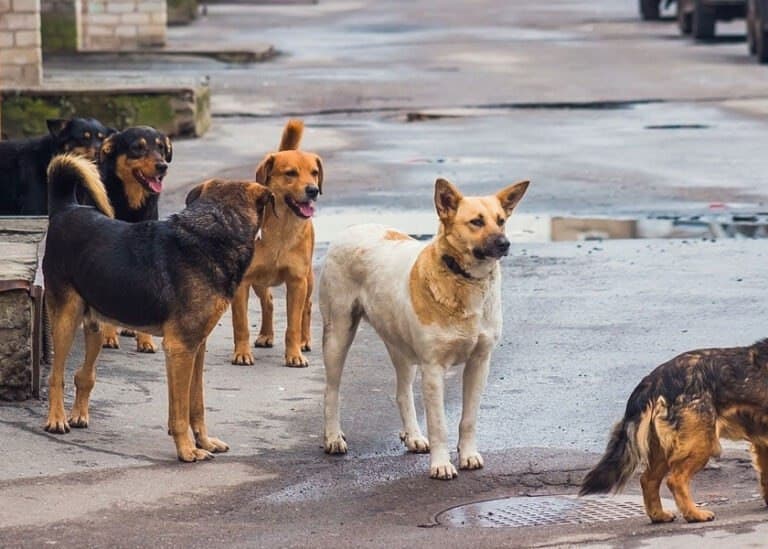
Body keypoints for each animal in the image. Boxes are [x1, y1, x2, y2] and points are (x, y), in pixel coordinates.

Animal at [43, 155, 274, 462]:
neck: (215, 230)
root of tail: (66, 208)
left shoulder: (197, 347)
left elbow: (196, 404)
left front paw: (204, 441)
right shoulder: (180, 348)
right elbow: (179, 412)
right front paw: (187, 449)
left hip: (95, 324)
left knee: (84, 374)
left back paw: (79, 414)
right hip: (65, 319)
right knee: (56, 375)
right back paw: (56, 419)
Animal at [318, 178, 528, 478]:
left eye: (501, 221)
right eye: (476, 222)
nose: (505, 243)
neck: (463, 279)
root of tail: (353, 228)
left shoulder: (479, 363)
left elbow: (468, 419)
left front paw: (468, 455)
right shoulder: (433, 369)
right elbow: (439, 424)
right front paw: (441, 464)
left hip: (400, 347)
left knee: (402, 393)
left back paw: (413, 436)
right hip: (338, 334)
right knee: (331, 390)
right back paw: (333, 437)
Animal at [584, 338, 768, 524]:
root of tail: (654, 379)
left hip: (665, 449)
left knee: (648, 479)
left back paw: (658, 515)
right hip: (701, 444)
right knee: (675, 480)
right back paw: (694, 514)